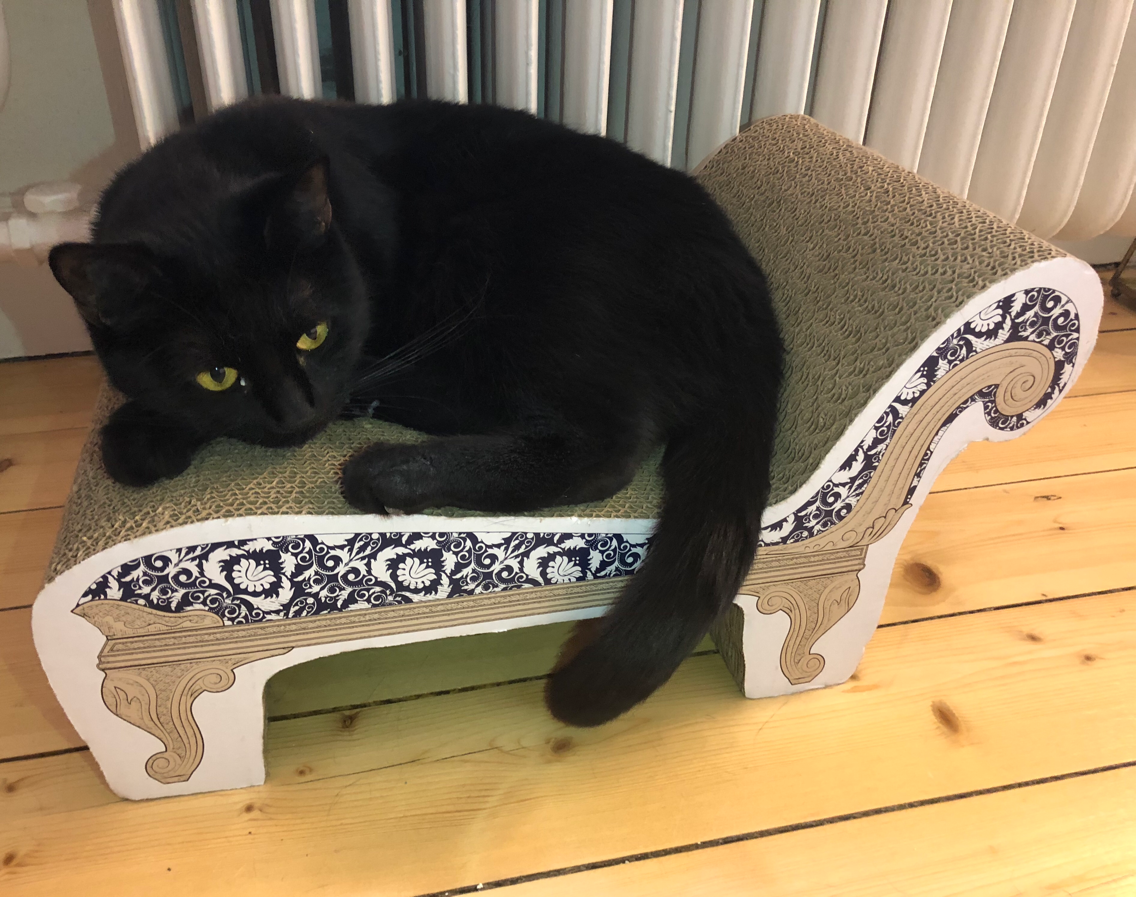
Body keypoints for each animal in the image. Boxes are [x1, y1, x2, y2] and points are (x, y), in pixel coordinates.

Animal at [49, 97, 783, 727]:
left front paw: (145, 436)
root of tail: (748, 294)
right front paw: (149, 430)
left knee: (607, 444)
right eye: (218, 373)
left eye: (312, 333)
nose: (297, 412)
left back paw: (388, 467)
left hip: (526, 276)